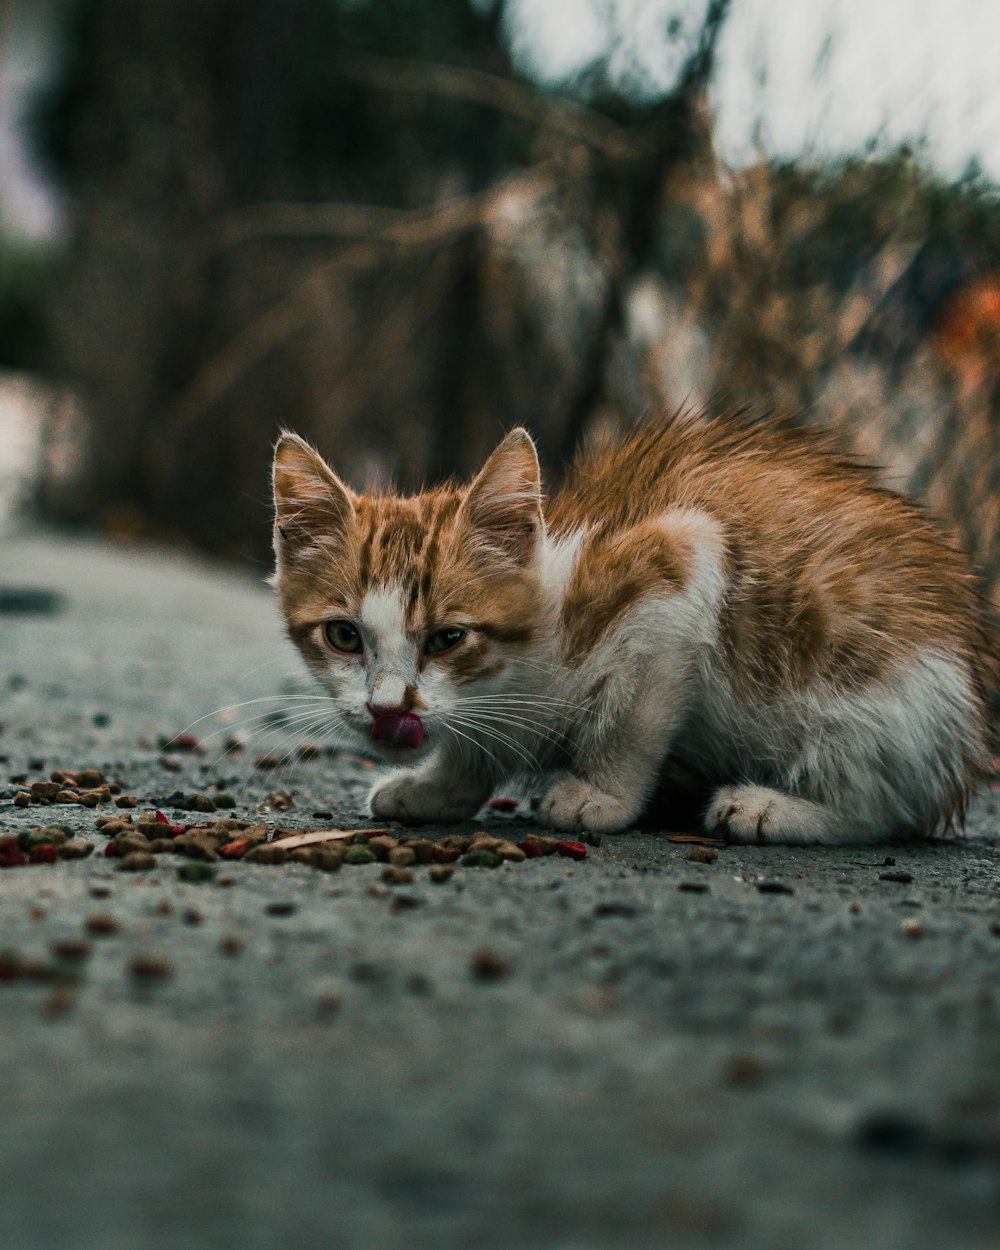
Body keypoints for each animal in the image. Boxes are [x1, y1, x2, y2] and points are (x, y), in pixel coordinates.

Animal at [270, 415, 995, 845]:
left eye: (449, 638)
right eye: (343, 636)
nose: (387, 709)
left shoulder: (683, 562)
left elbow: (635, 716)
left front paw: (602, 796)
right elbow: (477, 750)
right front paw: (440, 786)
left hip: (886, 702)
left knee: (885, 806)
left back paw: (776, 809)